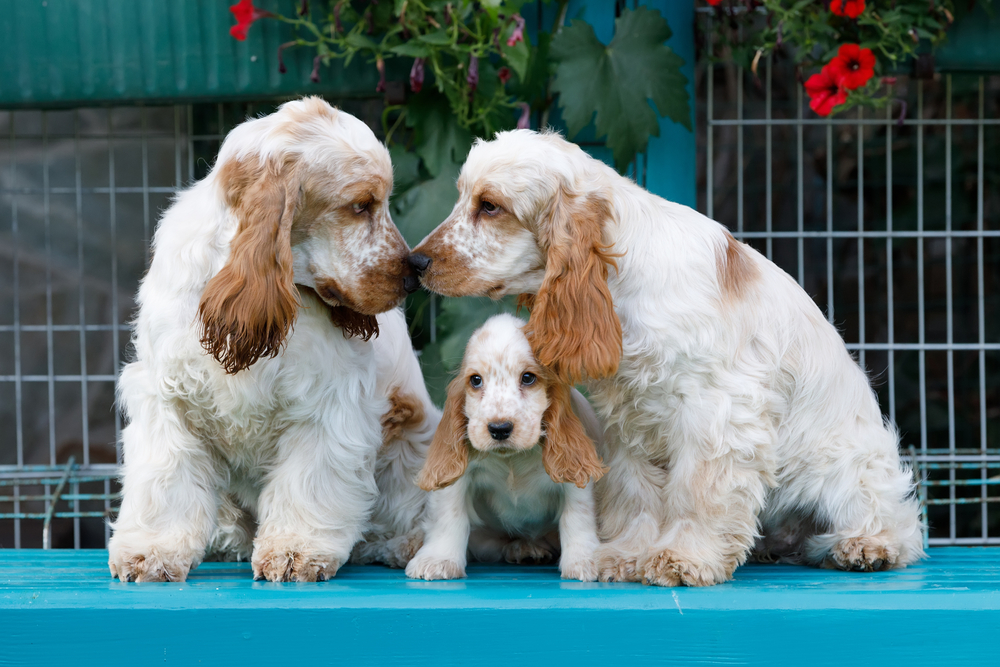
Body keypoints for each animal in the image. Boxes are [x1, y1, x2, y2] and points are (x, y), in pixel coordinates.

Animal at [110, 96, 438, 580]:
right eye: (361, 205)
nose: (413, 273)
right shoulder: (167, 397)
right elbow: (165, 481)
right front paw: (151, 551)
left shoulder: (329, 405)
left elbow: (308, 482)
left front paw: (295, 551)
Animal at [402, 316, 604, 580]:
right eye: (475, 380)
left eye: (528, 378)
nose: (499, 428)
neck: (512, 460)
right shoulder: (457, 476)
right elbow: (449, 514)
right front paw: (438, 560)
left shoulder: (574, 476)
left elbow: (577, 517)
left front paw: (585, 560)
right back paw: (523, 548)